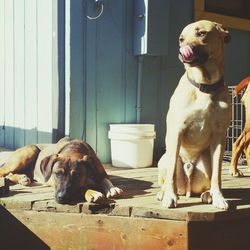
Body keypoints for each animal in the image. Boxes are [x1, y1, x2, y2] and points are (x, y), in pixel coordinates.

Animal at [157, 20, 231, 210]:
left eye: (202, 33)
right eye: (181, 39)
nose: (183, 49)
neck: (204, 85)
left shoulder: (219, 136)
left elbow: (217, 175)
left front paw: (218, 197)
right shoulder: (176, 131)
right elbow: (171, 176)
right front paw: (170, 197)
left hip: (206, 161)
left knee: (209, 179)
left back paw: (208, 194)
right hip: (165, 159)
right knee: (168, 177)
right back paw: (163, 193)